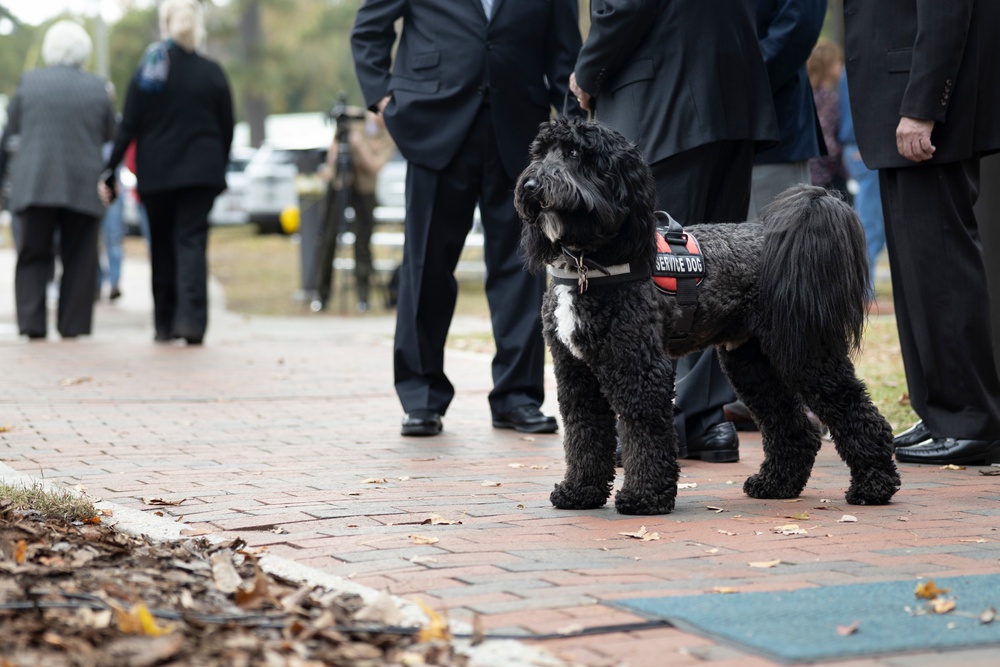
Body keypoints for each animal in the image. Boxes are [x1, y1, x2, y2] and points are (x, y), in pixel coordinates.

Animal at [516, 120, 900, 516]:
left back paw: (874, 484)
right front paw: (580, 491)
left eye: (575, 153)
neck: (589, 264)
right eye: (540, 153)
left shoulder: (640, 368)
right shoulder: (575, 373)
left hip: (808, 355)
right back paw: (776, 484)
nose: (530, 185)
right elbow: (584, 432)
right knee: (793, 426)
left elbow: (645, 433)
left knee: (855, 410)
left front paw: (644, 496)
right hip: (752, 365)